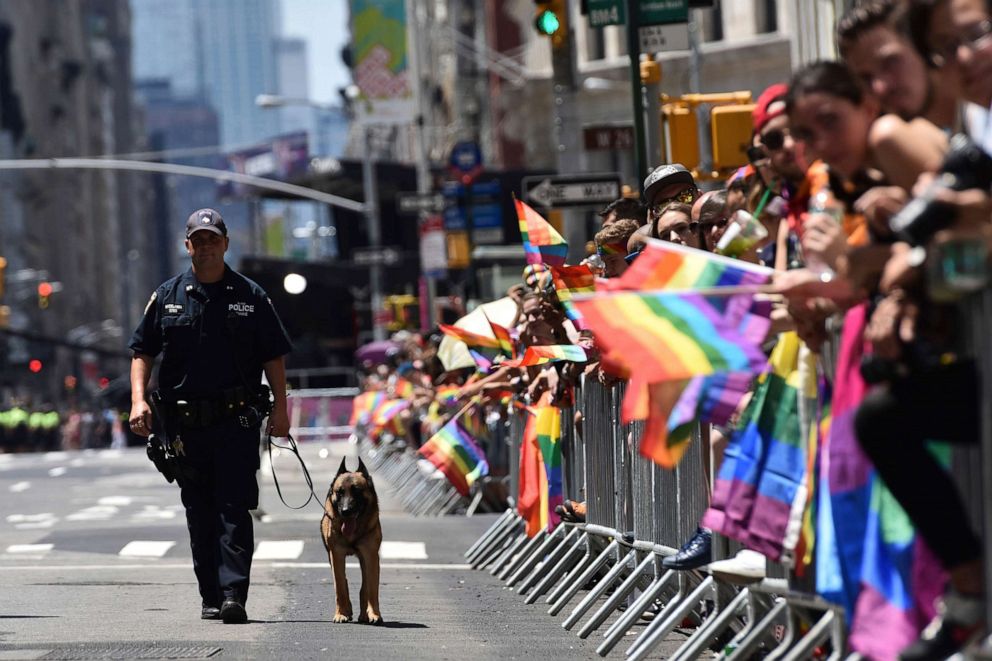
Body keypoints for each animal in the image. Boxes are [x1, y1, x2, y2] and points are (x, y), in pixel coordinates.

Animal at [320, 456, 382, 620]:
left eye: (357, 491)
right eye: (340, 492)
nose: (346, 511)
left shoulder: (370, 556)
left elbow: (370, 588)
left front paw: (373, 614)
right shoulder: (336, 555)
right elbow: (340, 586)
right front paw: (342, 613)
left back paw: (364, 615)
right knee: (343, 581)